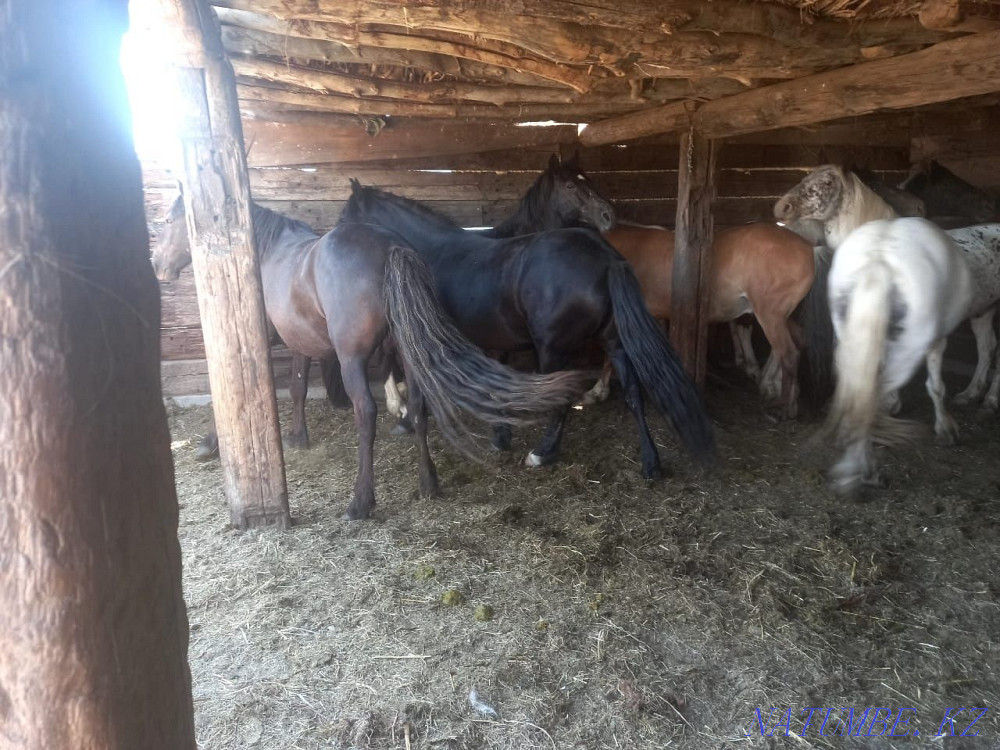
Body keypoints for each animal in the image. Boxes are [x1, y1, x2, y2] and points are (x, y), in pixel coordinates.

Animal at [150, 196, 589, 519]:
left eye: (171, 220)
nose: (158, 265)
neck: (262, 255)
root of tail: (391, 247)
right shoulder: (299, 344)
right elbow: (296, 387)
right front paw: (297, 437)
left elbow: (237, 394)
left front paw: (210, 443)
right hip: (409, 355)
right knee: (419, 406)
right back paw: (428, 483)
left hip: (353, 361)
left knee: (367, 412)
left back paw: (361, 501)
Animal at [340, 180, 716, 479]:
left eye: (345, 215)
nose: (335, 237)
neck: (434, 252)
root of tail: (606, 257)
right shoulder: (495, 343)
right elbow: (498, 387)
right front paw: (500, 435)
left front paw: (408, 420)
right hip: (614, 342)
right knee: (634, 393)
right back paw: (651, 464)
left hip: (554, 350)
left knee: (564, 398)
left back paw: (543, 453)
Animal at [774, 164, 974, 494]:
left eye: (825, 182)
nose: (781, 208)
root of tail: (878, 263)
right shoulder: (935, 341)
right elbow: (935, 385)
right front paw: (945, 427)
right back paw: (865, 471)